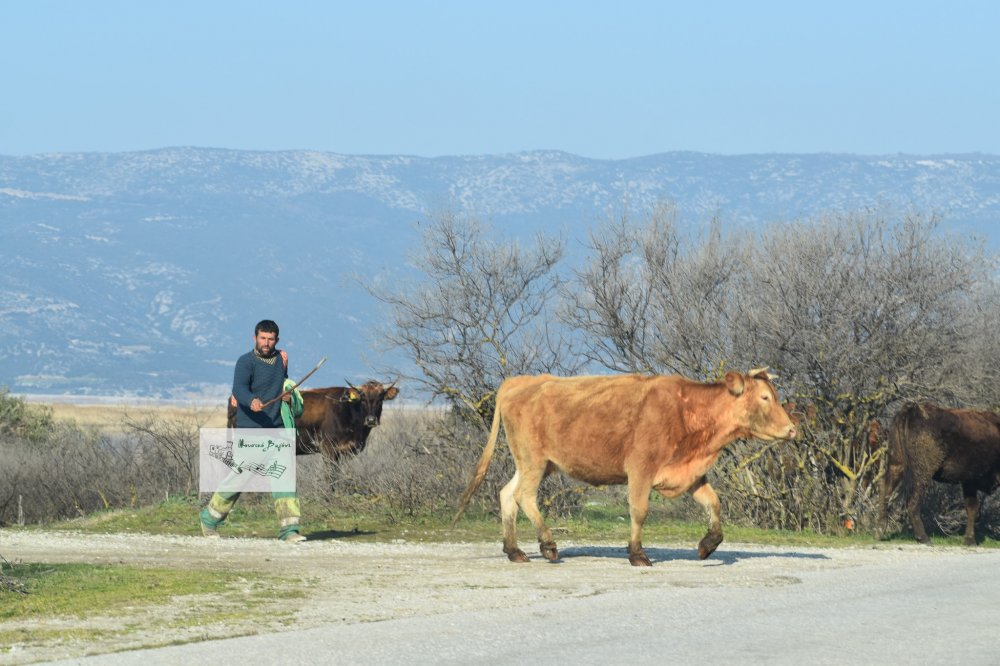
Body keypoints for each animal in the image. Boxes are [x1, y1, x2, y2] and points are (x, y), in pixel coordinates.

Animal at [454, 368, 796, 564]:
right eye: (765, 397)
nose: (792, 429)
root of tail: (521, 382)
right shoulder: (641, 469)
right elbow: (639, 511)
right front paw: (637, 554)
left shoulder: (690, 473)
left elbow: (713, 502)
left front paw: (707, 545)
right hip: (533, 461)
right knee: (524, 496)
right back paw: (548, 544)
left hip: (532, 464)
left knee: (506, 495)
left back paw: (514, 551)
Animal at [880, 402, 1000, 544]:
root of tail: (913, 409)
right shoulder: (971, 481)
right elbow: (973, 508)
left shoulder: (969, 482)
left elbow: (971, 508)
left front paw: (969, 540)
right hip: (923, 474)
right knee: (913, 502)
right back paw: (924, 538)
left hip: (896, 464)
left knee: (886, 491)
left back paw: (879, 531)